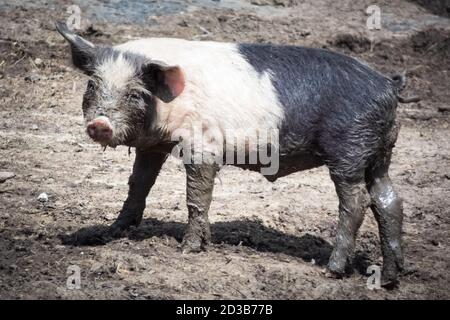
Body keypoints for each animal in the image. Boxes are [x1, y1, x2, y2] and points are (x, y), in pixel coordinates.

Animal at [56, 22, 418, 288]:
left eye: (134, 93)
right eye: (92, 86)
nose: (99, 124)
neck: (165, 103)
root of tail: (388, 84)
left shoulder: (202, 145)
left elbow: (196, 197)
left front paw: (189, 249)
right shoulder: (152, 146)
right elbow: (138, 185)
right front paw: (116, 231)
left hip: (349, 149)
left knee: (357, 201)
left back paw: (332, 270)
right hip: (380, 153)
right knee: (389, 200)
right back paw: (390, 279)